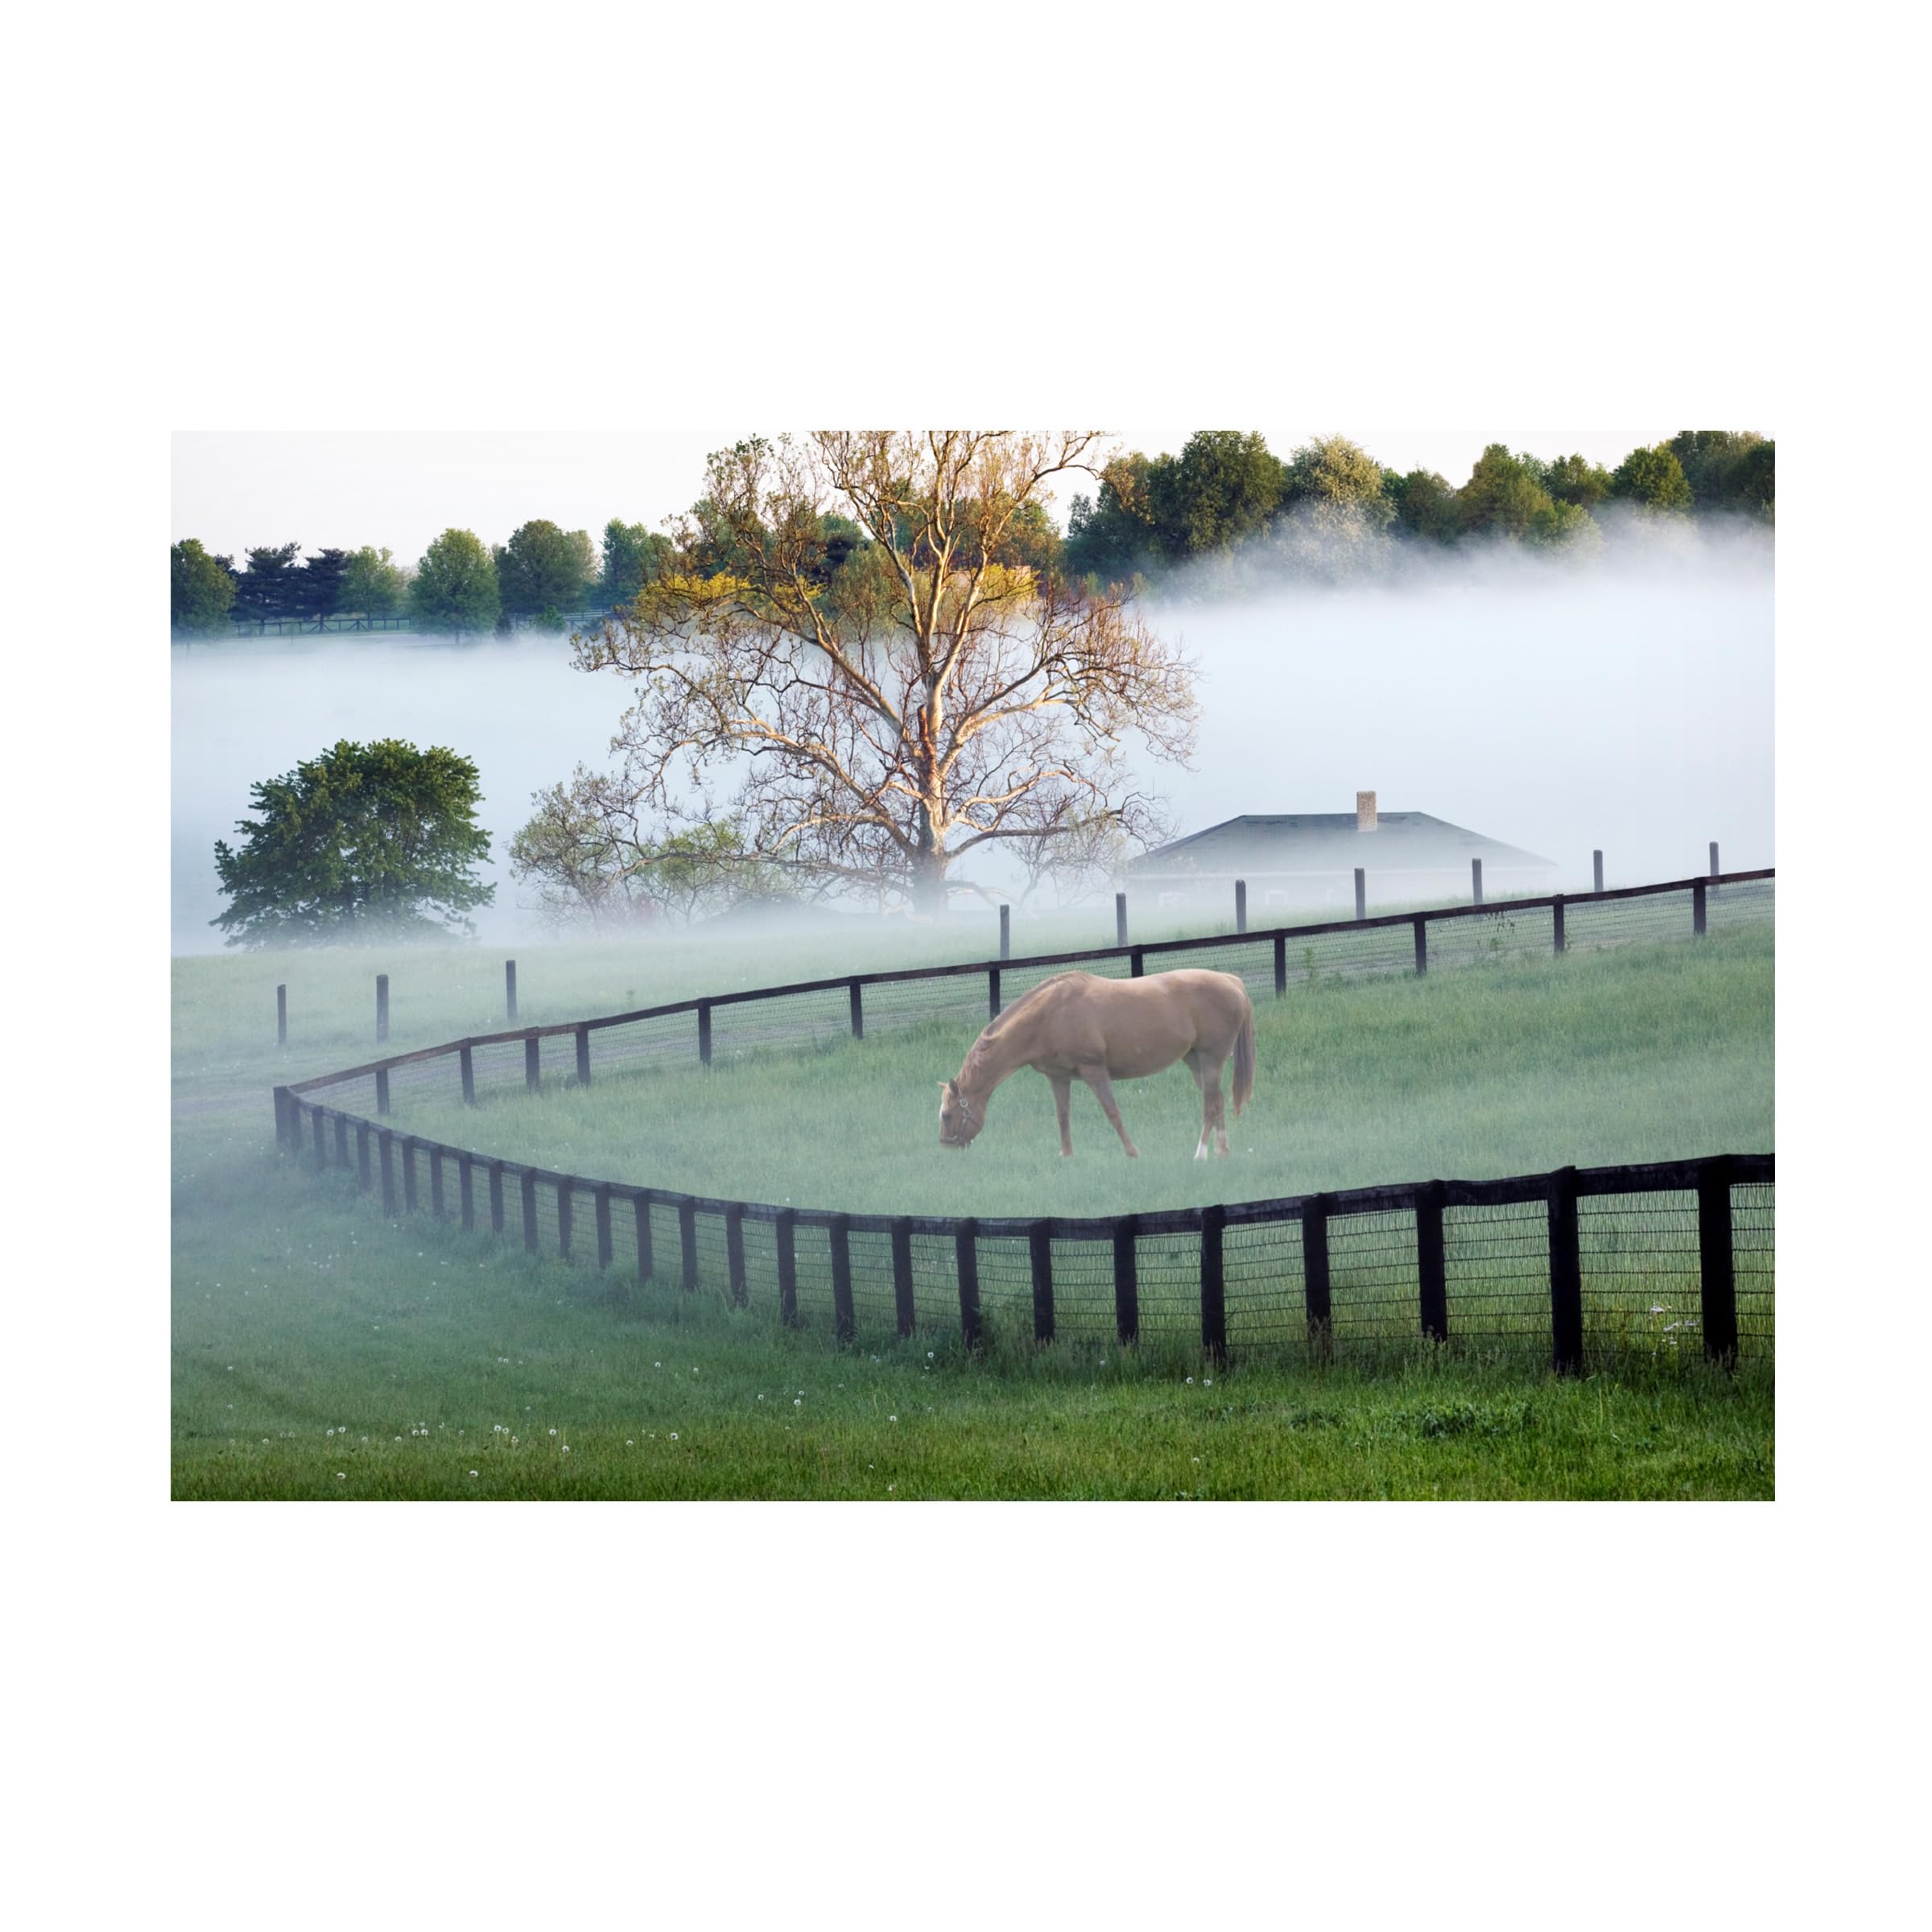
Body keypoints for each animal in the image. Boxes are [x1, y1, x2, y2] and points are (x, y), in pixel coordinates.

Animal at [938, 969, 1256, 1160]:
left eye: (947, 1115)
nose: (946, 1145)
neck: (1049, 1015)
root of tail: (1232, 982)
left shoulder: (1094, 1071)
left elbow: (1112, 1113)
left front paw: (1132, 1153)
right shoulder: (1058, 1078)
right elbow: (1063, 1117)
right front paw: (1066, 1156)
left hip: (1211, 1060)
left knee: (1210, 1106)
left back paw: (1200, 1154)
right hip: (1195, 1061)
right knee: (1217, 1101)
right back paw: (1222, 1152)